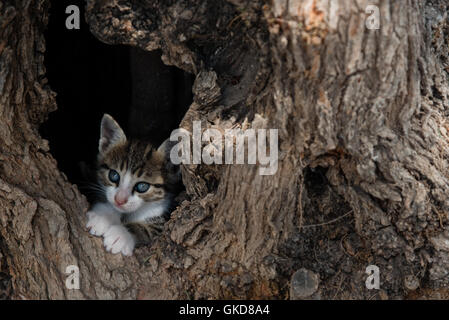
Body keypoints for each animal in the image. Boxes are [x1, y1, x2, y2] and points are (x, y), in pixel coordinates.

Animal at [86, 114, 180, 256]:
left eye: (142, 186)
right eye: (114, 175)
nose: (119, 200)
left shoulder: (164, 217)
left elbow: (149, 229)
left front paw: (121, 235)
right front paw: (103, 217)